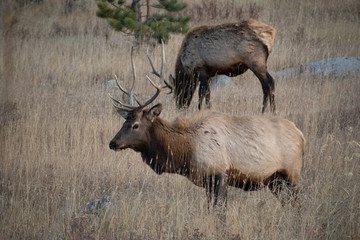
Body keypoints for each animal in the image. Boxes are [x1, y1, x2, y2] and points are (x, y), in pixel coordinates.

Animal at [108, 43, 306, 208]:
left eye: (135, 125)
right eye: (124, 121)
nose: (112, 143)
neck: (186, 150)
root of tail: (301, 136)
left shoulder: (220, 173)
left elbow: (220, 211)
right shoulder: (207, 182)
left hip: (292, 173)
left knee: (297, 203)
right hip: (275, 180)